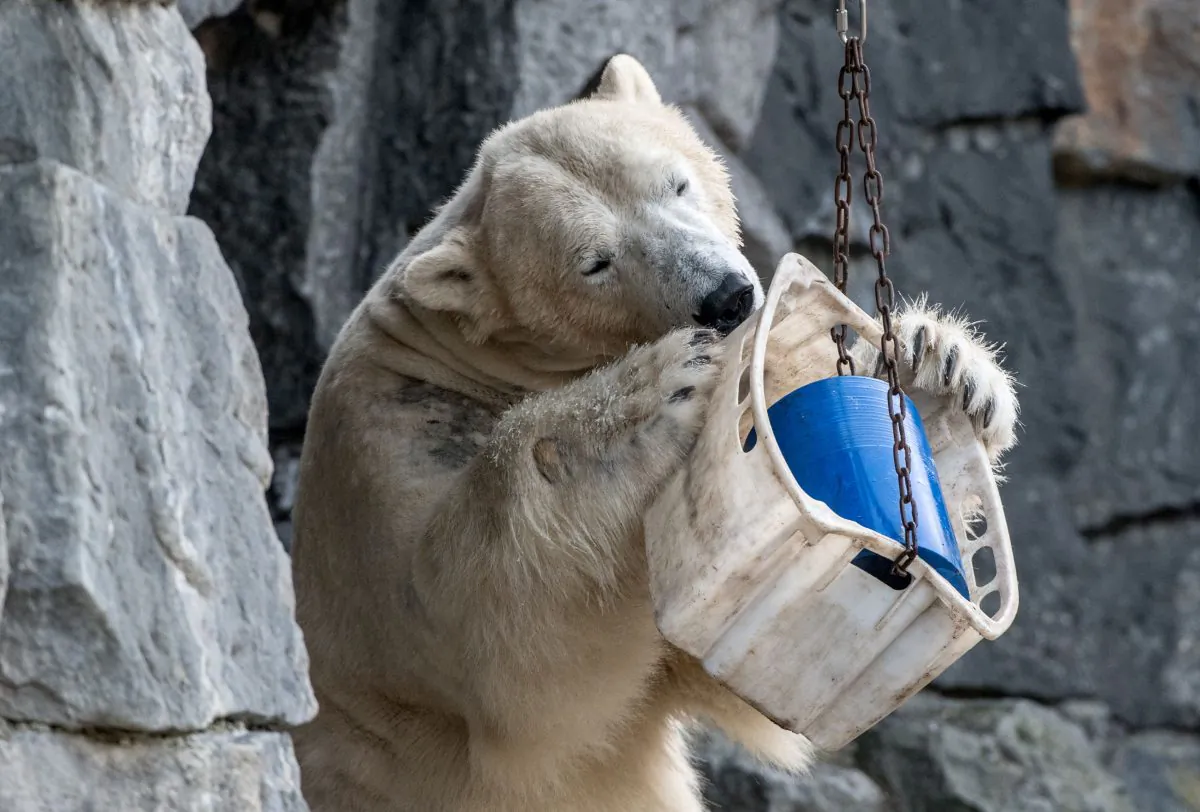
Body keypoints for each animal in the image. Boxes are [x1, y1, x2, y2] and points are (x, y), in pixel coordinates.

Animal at [288, 54, 1019, 812]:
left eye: (676, 182)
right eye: (594, 262)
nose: (727, 297)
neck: (459, 352)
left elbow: (736, 668)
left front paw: (943, 368)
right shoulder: (389, 459)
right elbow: (502, 647)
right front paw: (657, 388)